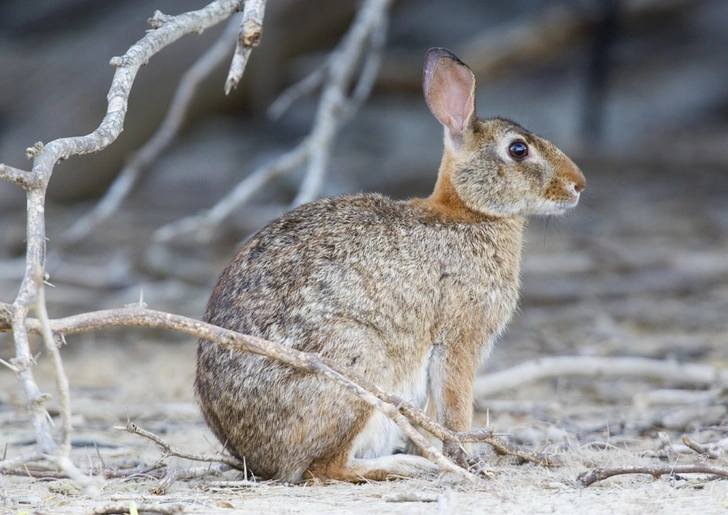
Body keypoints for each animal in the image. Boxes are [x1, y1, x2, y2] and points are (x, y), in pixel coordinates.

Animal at [195, 47, 584, 484]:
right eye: (518, 150)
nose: (578, 185)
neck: (470, 212)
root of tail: (254, 457)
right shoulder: (458, 340)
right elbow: (456, 407)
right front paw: (464, 460)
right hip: (356, 366)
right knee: (324, 469)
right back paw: (406, 465)